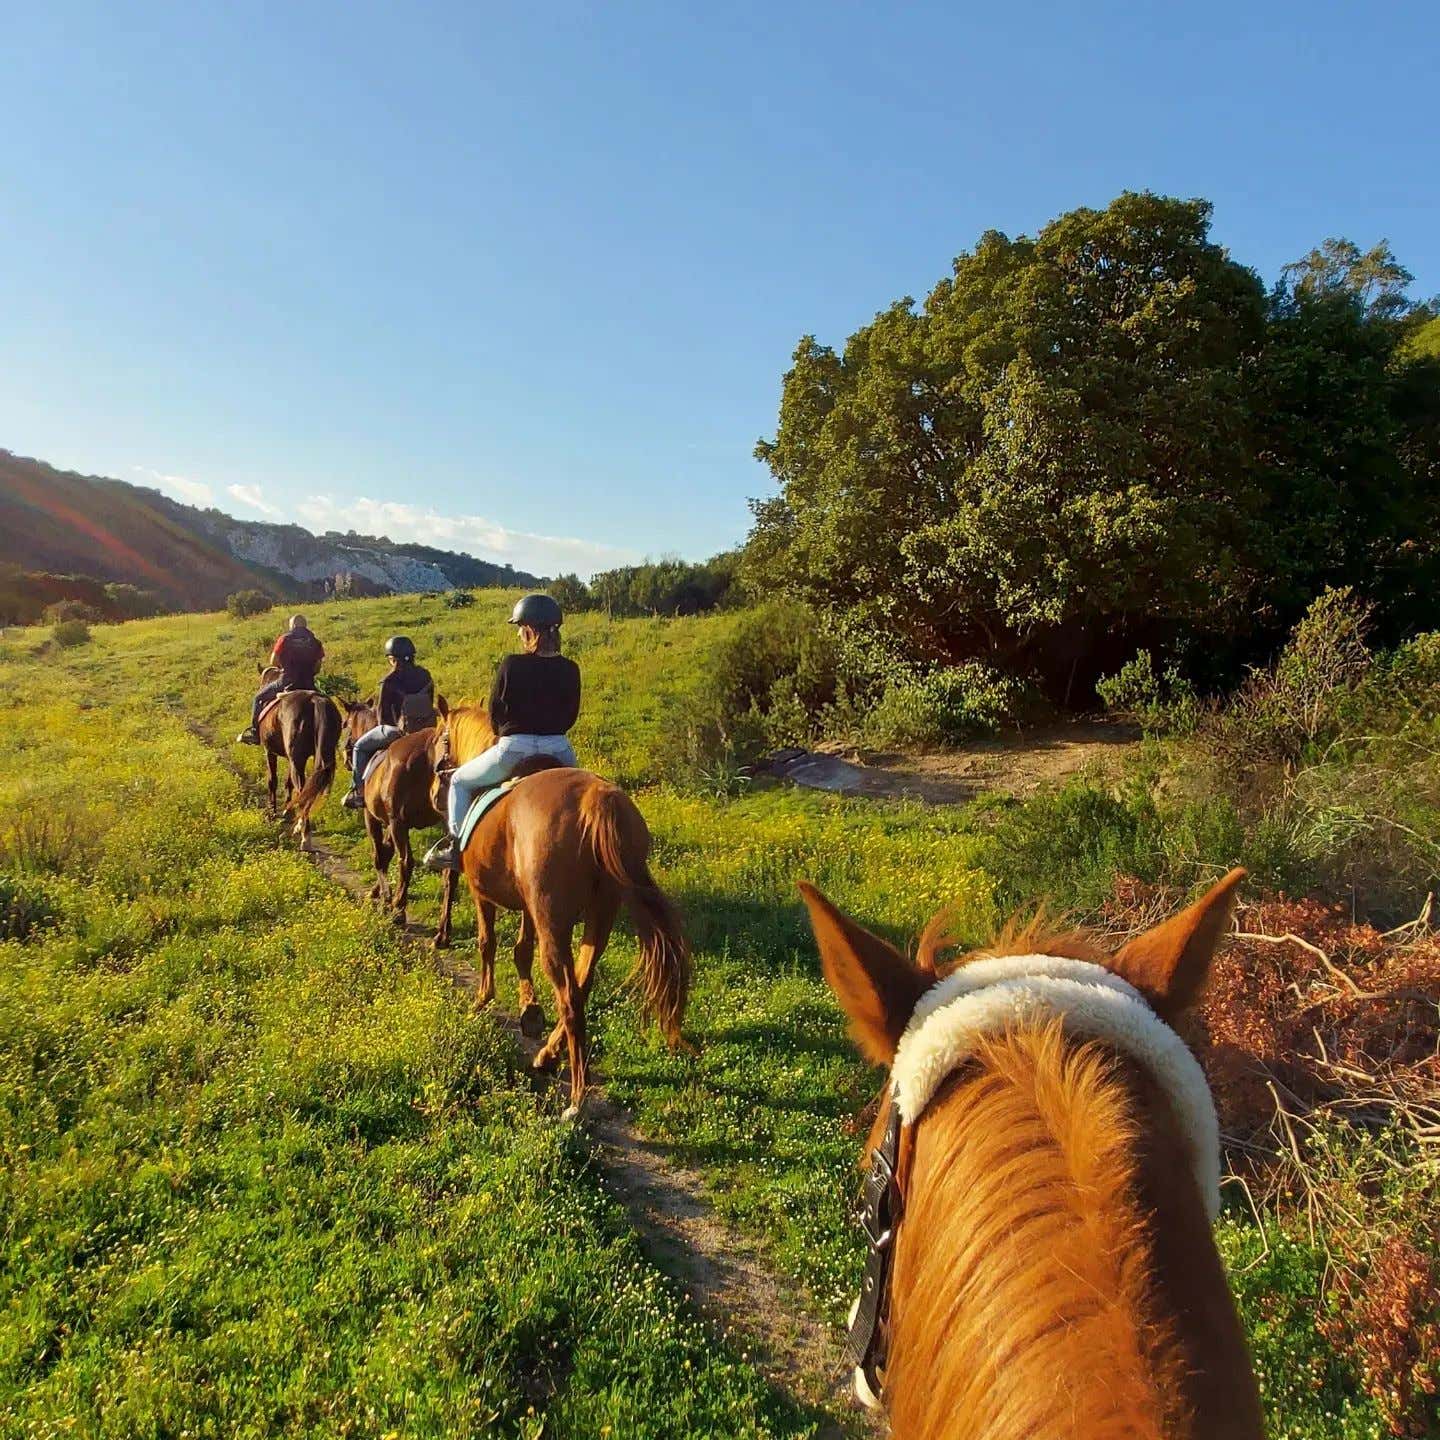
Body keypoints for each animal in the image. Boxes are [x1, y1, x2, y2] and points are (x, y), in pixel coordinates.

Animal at [257, 670, 341, 850]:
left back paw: (304, 836)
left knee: (302, 788)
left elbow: (272, 780)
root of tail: (315, 701)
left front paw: (272, 811)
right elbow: (288, 782)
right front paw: (287, 810)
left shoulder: (270, 752)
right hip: (317, 757)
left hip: (298, 759)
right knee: (309, 788)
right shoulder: (291, 758)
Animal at [340, 697, 457, 946]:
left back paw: (398, 910)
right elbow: (386, 852)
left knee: (406, 862)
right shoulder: (391, 823)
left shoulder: (376, 818)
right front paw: (378, 892)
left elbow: (379, 856)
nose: (345, 756)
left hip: (398, 823)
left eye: (345, 723)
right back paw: (442, 932)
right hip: (443, 823)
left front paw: (384, 898)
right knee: (449, 873)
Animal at [434, 703, 691, 1114]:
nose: (437, 781)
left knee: (569, 995)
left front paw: (483, 1000)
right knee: (582, 983)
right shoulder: (529, 907)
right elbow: (520, 950)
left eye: (441, 736)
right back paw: (549, 1056)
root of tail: (597, 801)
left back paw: (576, 1097)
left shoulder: (481, 893)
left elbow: (488, 943)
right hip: (598, 916)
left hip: (554, 920)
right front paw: (529, 1011)